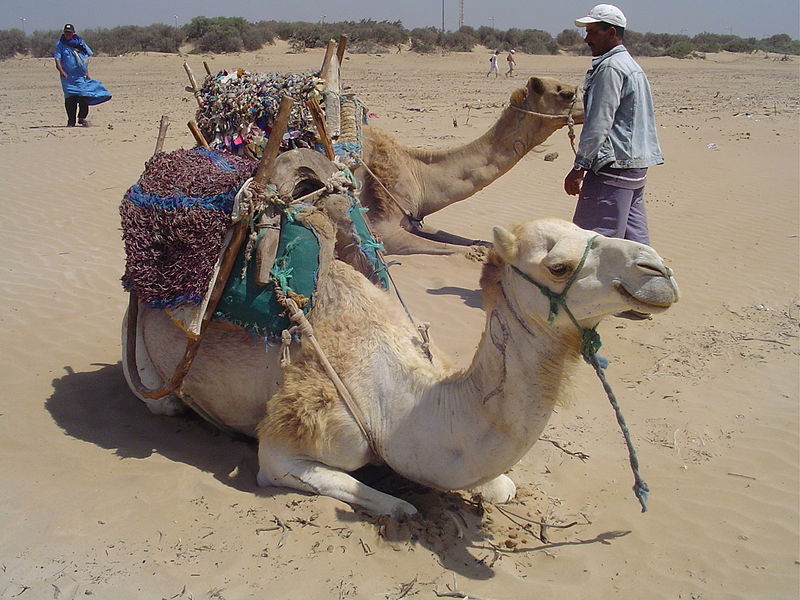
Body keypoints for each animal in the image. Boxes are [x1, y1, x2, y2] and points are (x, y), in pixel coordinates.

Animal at [122, 212, 680, 516]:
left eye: (591, 227)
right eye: (558, 266)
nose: (658, 271)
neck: (403, 404)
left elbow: (503, 485)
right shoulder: (286, 452)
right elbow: (395, 502)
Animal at [360, 76, 584, 254]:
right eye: (566, 94)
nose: (587, 109)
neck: (417, 174)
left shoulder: (414, 221)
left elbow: (473, 242)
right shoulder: (387, 233)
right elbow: (462, 250)